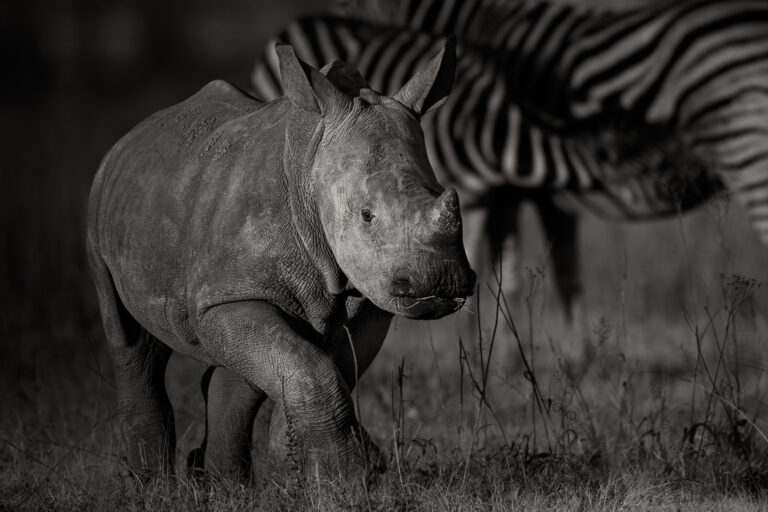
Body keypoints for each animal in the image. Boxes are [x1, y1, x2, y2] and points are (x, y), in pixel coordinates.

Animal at [87, 39, 475, 479]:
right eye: (366, 215)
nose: (440, 279)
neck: (311, 164)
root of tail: (132, 135)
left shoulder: (369, 302)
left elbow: (317, 370)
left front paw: (311, 468)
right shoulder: (228, 293)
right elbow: (309, 370)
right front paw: (349, 474)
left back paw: (222, 485)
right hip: (103, 208)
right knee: (131, 342)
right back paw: (152, 482)